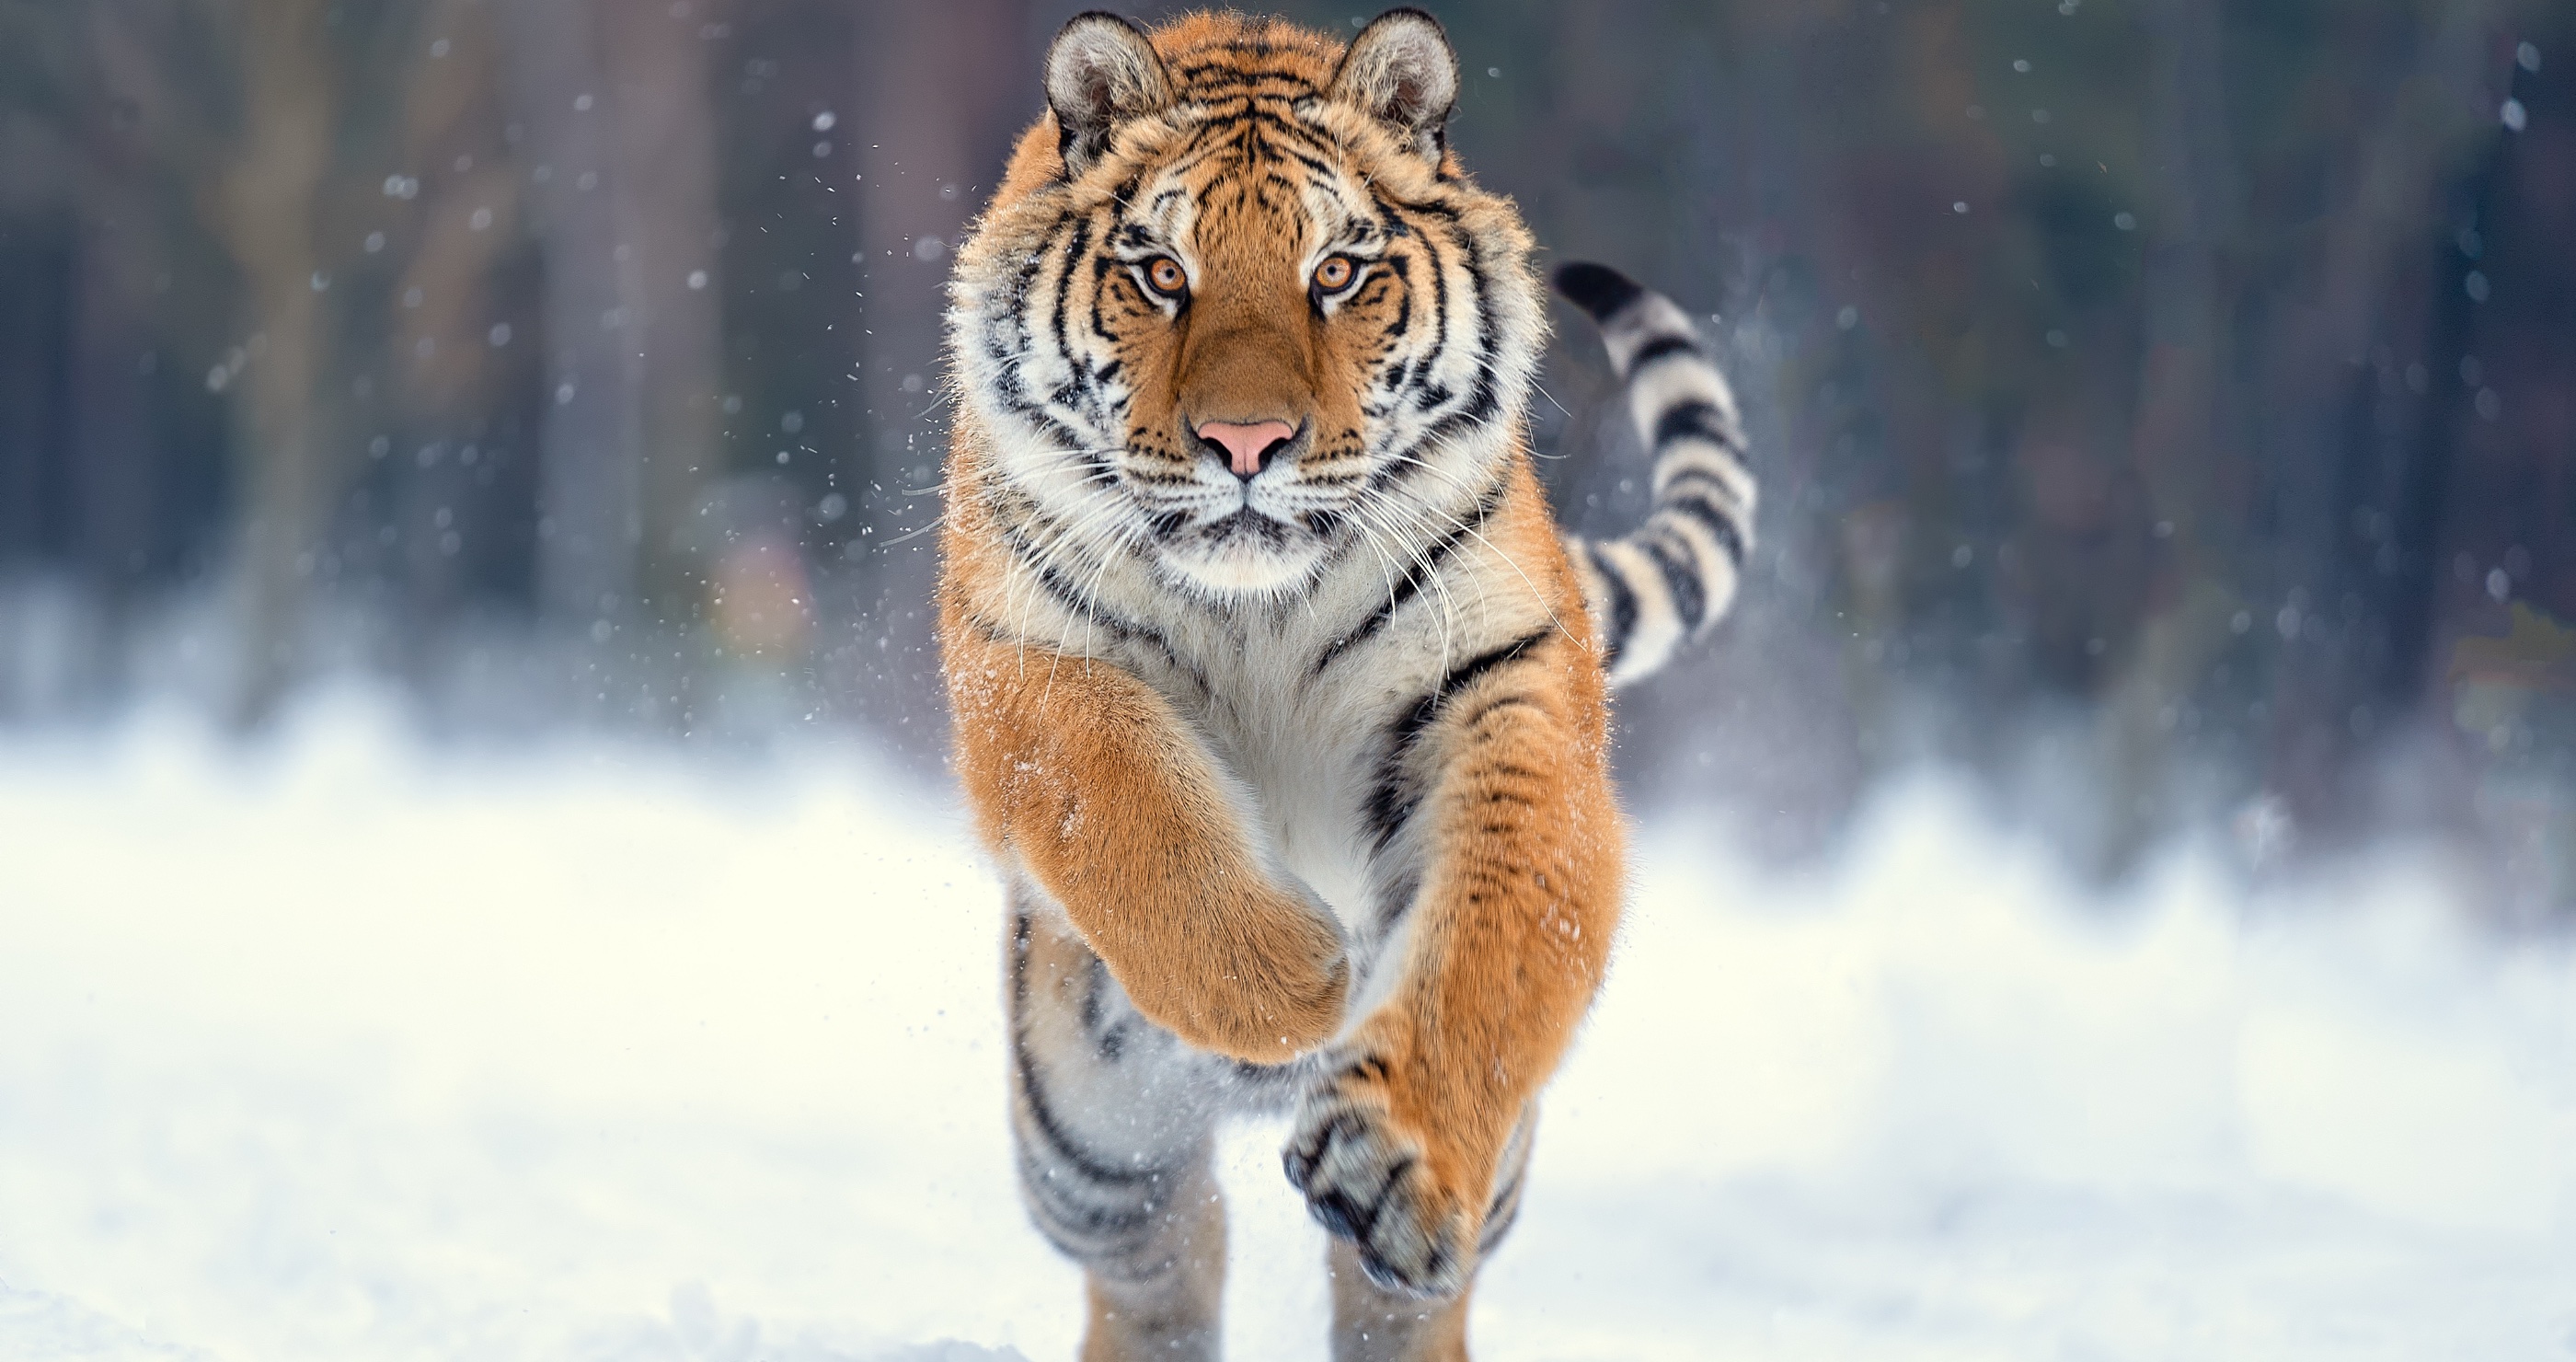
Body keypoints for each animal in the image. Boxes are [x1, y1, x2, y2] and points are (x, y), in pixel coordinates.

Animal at [935, 9, 1755, 1357]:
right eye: (1161, 272)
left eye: (1336, 273)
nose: (1247, 444)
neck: (1260, 605)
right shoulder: (1025, 664)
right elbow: (1133, 818)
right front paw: (1296, 981)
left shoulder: (1504, 686)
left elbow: (1501, 934)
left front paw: (1395, 1158)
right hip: (1087, 1154)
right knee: (1165, 1259)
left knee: (1390, 1298)